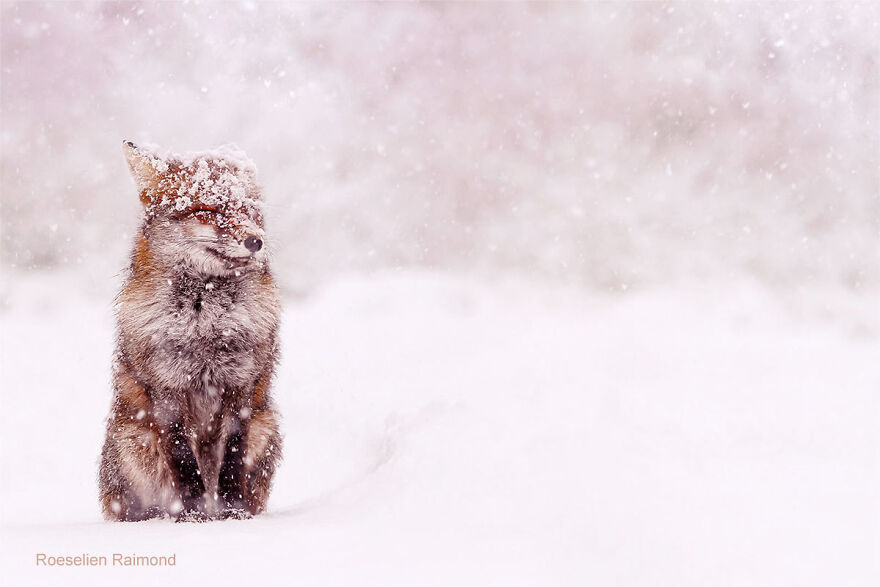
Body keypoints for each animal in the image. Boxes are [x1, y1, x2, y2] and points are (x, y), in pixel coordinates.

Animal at [98, 140, 282, 522]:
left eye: (248, 208)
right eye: (207, 209)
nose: (255, 241)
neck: (205, 324)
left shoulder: (240, 385)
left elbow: (232, 455)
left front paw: (232, 512)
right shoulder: (166, 387)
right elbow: (183, 459)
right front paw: (193, 517)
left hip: (266, 425)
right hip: (134, 440)